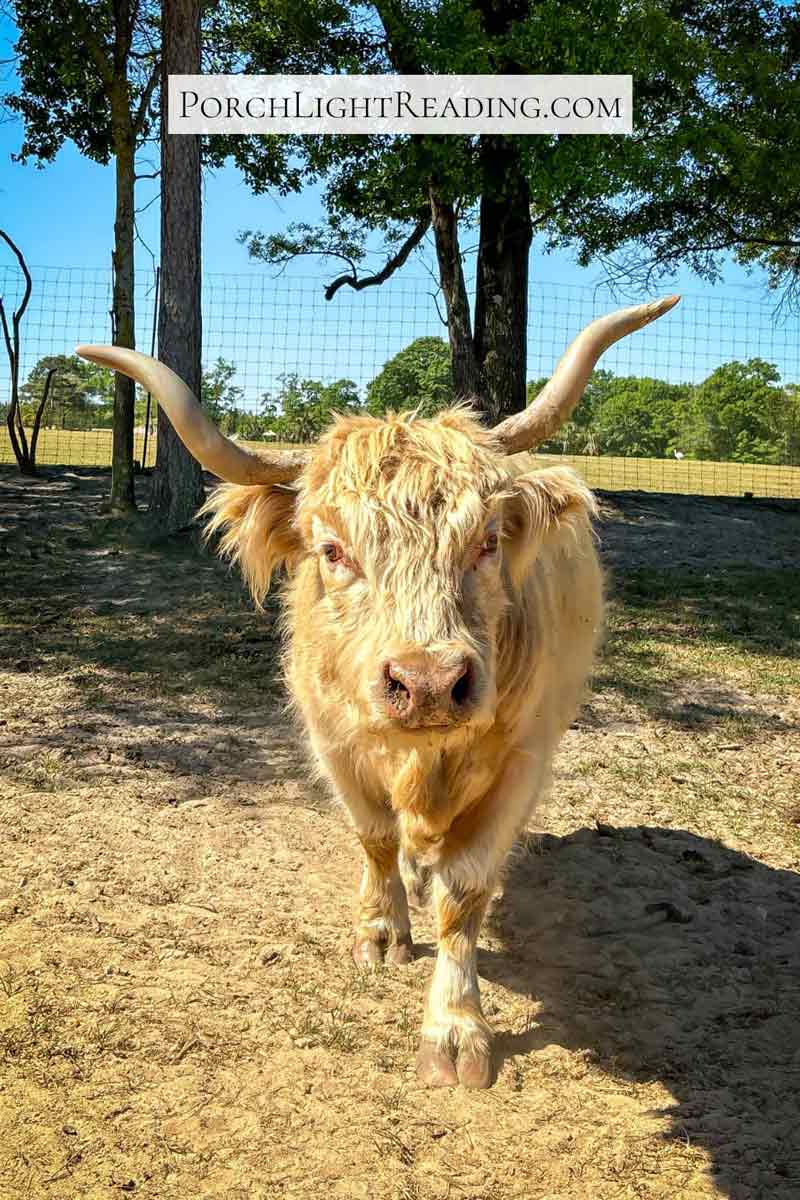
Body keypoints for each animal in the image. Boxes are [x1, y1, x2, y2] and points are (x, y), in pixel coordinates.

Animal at [77, 295, 678, 1089]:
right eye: (333, 549)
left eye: (487, 540)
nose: (428, 684)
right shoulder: (331, 739)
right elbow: (374, 835)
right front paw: (383, 928)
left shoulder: (524, 758)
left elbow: (466, 890)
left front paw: (454, 1028)